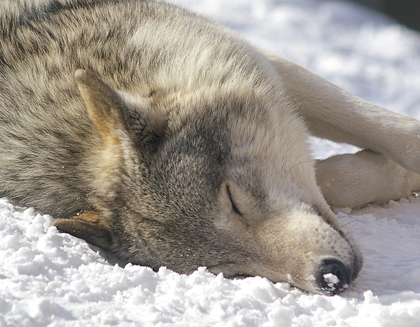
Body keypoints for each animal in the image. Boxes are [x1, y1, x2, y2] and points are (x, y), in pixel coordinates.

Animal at [0, 0, 420, 296]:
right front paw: (396, 177)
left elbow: (390, 132)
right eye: (234, 270)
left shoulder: (249, 59)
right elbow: (336, 179)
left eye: (233, 200)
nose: (331, 278)